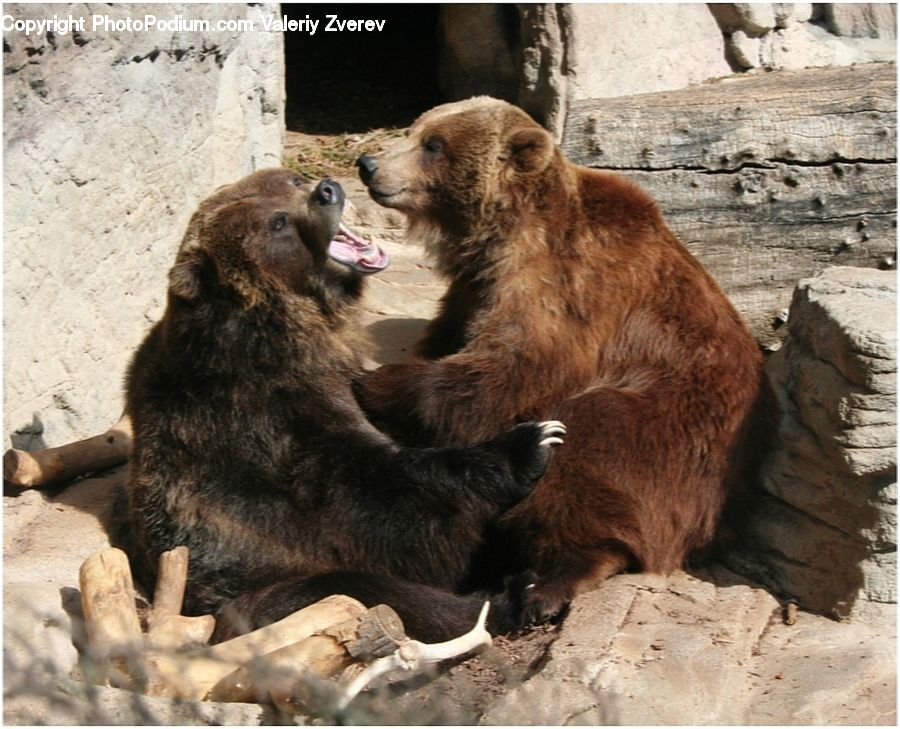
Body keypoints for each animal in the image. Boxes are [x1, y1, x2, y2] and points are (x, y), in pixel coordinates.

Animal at [123, 167, 567, 641]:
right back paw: (513, 594)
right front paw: (532, 441)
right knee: (367, 591)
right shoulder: (263, 418)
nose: (327, 190)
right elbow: (375, 492)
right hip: (259, 585)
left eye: (291, 180)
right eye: (277, 222)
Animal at [353, 97, 771, 624]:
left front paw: (378, 381)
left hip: (669, 430)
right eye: (415, 129)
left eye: (433, 144)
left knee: (588, 445)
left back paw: (549, 581)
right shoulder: (477, 287)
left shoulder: (565, 284)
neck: (503, 230)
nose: (368, 164)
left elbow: (517, 366)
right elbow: (452, 335)